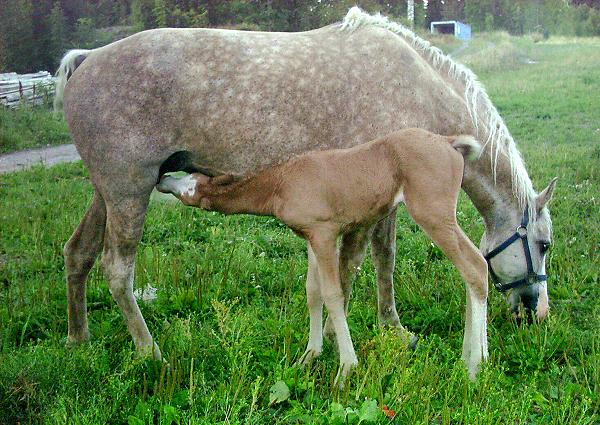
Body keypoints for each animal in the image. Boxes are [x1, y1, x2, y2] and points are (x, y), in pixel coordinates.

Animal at [158, 127, 488, 380]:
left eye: (188, 181)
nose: (161, 178)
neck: (281, 182)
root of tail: (448, 142)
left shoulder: (325, 234)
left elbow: (333, 293)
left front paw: (346, 368)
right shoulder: (310, 238)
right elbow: (312, 292)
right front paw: (309, 355)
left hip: (433, 214)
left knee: (474, 267)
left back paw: (475, 366)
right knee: (473, 269)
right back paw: (470, 357)